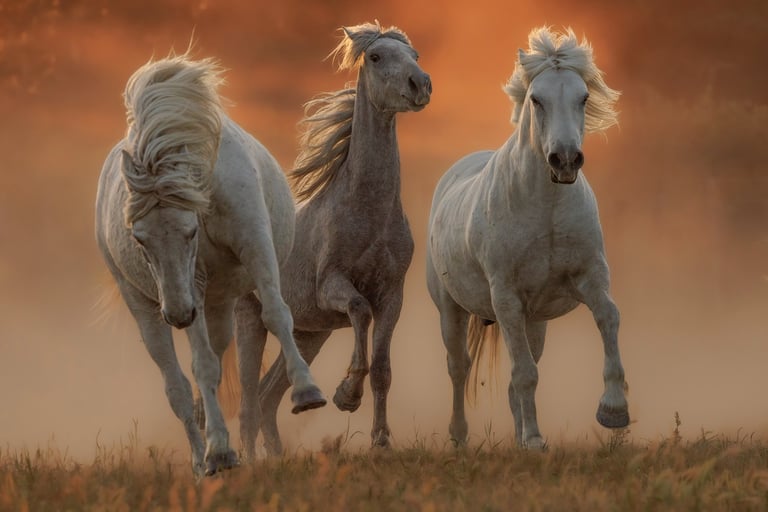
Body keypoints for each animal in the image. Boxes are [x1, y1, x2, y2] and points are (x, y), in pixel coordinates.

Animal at [95, 54, 325, 476]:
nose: (177, 315)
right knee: (179, 386)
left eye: (189, 232)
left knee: (216, 358)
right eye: (139, 239)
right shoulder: (193, 285)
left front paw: (307, 391)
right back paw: (206, 458)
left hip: (217, 301)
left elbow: (276, 314)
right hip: (150, 305)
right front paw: (218, 451)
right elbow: (200, 367)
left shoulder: (256, 246)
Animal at [233, 22, 432, 457]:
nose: (420, 84)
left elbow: (383, 369)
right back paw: (250, 461)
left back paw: (278, 456)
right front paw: (346, 395)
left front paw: (381, 441)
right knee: (248, 402)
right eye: (375, 56)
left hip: (309, 333)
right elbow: (359, 310)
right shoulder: (332, 286)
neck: (368, 211)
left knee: (268, 395)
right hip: (251, 320)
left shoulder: (392, 296)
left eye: (415, 55)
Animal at [426, 27, 629, 449]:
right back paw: (460, 438)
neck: (546, 209)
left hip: (534, 322)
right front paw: (536, 441)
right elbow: (524, 374)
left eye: (583, 97)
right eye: (537, 99)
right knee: (458, 368)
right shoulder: (506, 298)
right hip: (452, 310)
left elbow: (608, 318)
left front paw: (614, 410)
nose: (565, 160)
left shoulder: (589, 278)